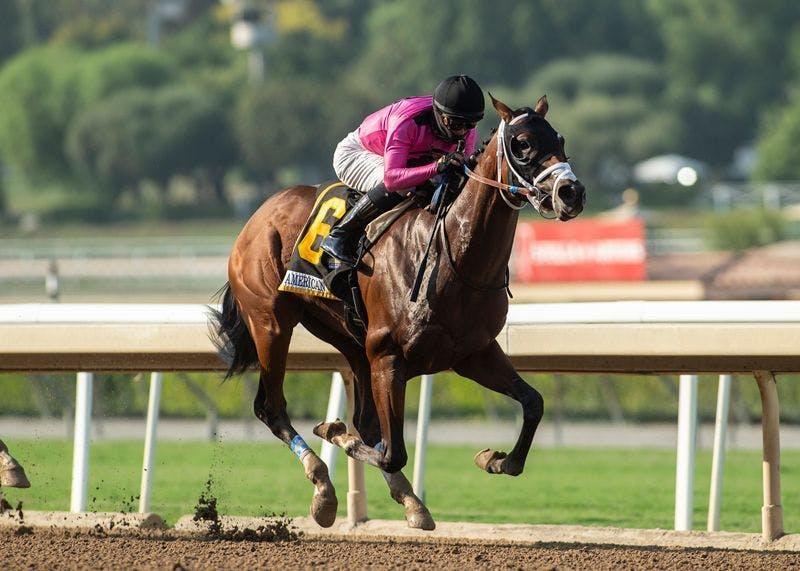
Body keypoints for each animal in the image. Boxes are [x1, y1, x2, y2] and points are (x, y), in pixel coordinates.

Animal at [211, 94, 588, 532]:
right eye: (522, 143)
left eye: (560, 138)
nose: (571, 193)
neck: (453, 255)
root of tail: (259, 213)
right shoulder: (390, 356)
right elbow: (391, 450)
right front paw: (335, 431)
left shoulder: (473, 353)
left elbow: (533, 403)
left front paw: (495, 459)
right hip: (272, 323)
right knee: (271, 407)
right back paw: (323, 487)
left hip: (349, 338)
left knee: (363, 418)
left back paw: (409, 500)